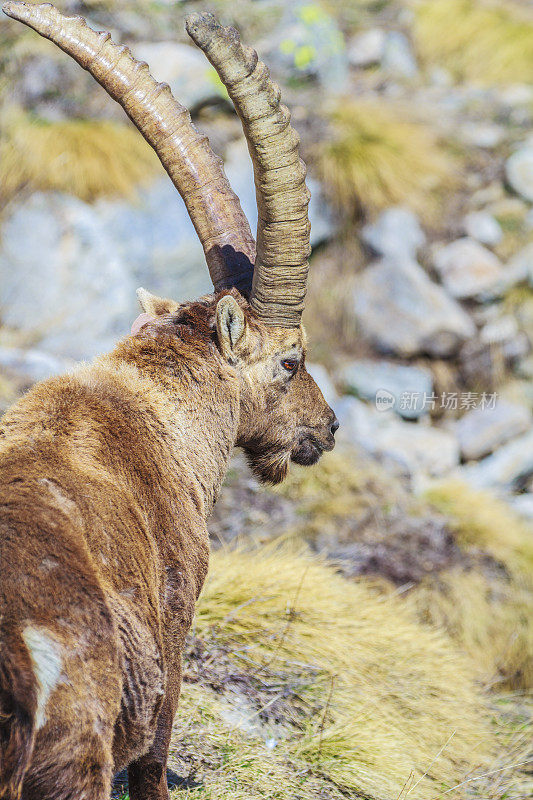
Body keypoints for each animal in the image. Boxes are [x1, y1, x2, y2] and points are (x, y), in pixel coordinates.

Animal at [0, 3, 336, 796]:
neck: (159, 410)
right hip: (77, 754)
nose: (327, 428)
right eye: (291, 360)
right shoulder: (178, 616)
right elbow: (154, 755)